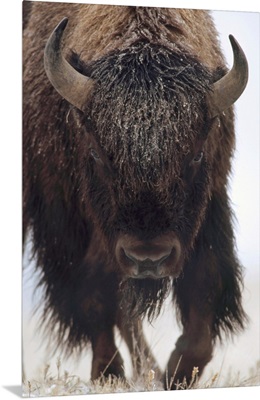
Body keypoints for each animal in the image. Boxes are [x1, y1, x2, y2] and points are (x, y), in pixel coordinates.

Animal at [23, 0, 249, 388]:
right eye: (96, 153)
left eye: (196, 155)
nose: (148, 258)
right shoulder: (62, 220)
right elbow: (93, 296)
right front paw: (108, 373)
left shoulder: (210, 207)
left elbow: (205, 287)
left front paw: (176, 373)